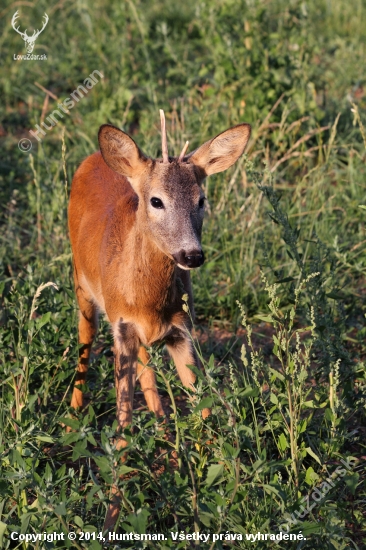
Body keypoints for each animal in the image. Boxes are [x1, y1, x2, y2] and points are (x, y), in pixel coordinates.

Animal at [67, 111, 250, 528]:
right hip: (82, 286)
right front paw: (110, 518)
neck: (146, 299)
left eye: (202, 200)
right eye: (156, 201)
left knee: (148, 370)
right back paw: (72, 415)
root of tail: (94, 156)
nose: (192, 255)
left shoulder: (182, 331)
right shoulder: (121, 329)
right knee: (85, 340)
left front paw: (216, 487)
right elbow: (121, 429)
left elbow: (204, 408)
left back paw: (166, 437)